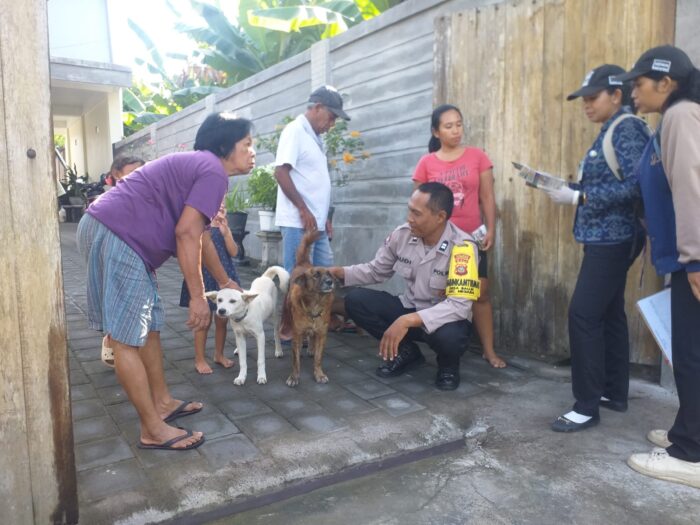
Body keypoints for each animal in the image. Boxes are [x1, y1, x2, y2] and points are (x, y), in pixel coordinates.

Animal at [286, 229, 338, 384]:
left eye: (329, 274)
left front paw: (319, 374)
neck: (315, 303)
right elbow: (295, 360)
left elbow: (318, 358)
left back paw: (310, 348)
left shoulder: (321, 334)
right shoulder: (297, 334)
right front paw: (294, 376)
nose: (330, 282)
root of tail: (304, 263)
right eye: (316, 275)